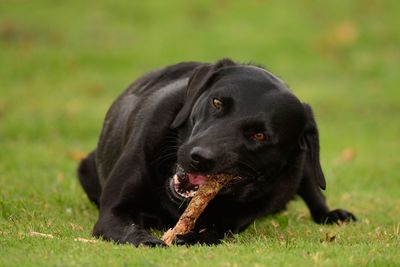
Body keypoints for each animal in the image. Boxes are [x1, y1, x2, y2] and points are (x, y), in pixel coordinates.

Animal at [78, 58, 356, 247]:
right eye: (217, 102)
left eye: (260, 135)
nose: (199, 157)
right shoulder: (114, 212)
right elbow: (130, 230)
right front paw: (151, 241)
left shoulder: (231, 224)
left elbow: (212, 233)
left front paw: (187, 237)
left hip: (303, 166)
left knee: (314, 193)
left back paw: (334, 215)